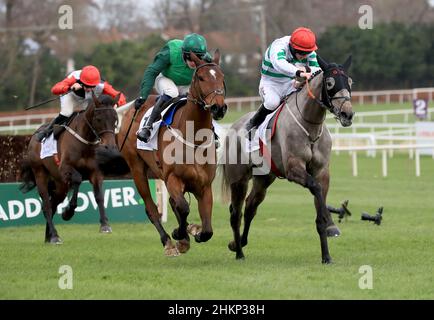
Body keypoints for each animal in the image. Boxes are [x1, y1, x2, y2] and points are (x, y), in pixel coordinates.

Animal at [19, 94, 122, 244]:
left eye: (115, 119)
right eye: (98, 119)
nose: (110, 147)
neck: (85, 142)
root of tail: (33, 136)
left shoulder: (95, 172)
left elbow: (99, 196)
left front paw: (105, 225)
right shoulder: (65, 168)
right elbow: (77, 180)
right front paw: (68, 212)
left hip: (60, 185)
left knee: (53, 204)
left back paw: (49, 236)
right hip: (40, 174)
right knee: (47, 206)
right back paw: (54, 236)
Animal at [117, 51, 229, 256]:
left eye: (221, 77)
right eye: (201, 77)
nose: (219, 108)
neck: (193, 137)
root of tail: (131, 111)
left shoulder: (204, 186)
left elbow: (207, 229)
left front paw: (194, 231)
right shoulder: (173, 178)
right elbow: (183, 207)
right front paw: (180, 233)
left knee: (170, 202)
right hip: (137, 169)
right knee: (152, 208)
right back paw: (168, 242)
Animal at [222, 55, 354, 264]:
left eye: (350, 82)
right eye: (330, 83)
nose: (347, 114)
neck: (310, 128)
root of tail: (234, 127)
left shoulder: (322, 172)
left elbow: (320, 198)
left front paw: (327, 251)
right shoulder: (294, 169)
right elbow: (315, 189)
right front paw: (328, 224)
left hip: (264, 178)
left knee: (251, 206)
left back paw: (239, 243)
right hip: (239, 180)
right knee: (236, 213)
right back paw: (239, 253)